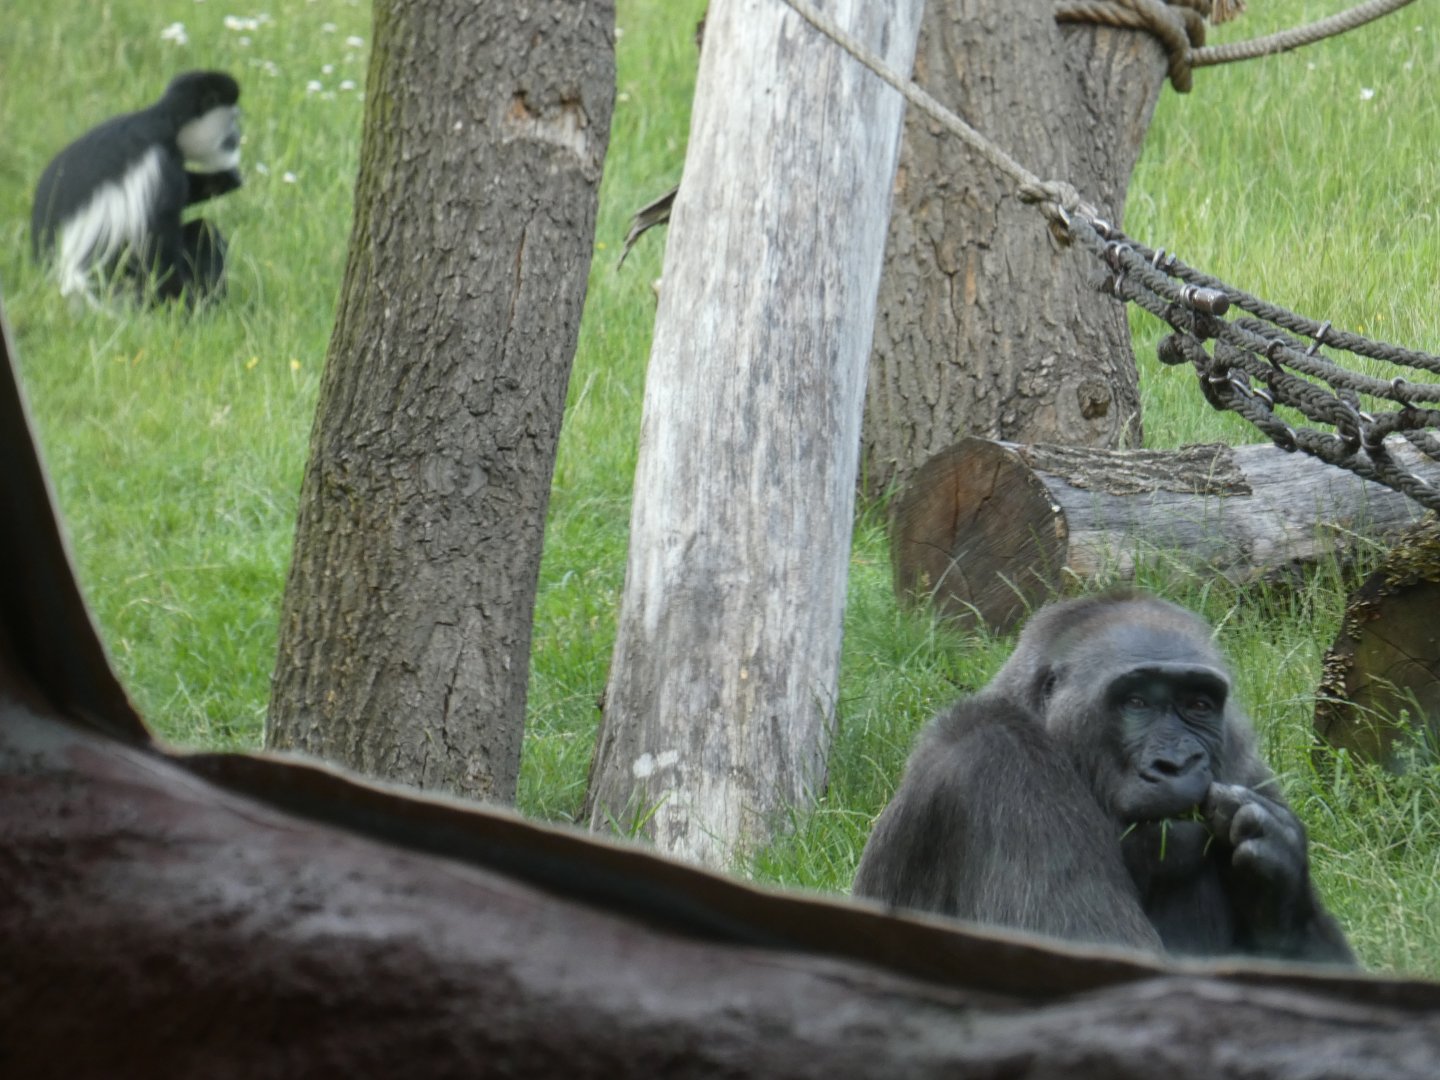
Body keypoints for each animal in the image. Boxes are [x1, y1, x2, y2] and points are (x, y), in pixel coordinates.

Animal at [31, 71, 244, 306]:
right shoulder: (159, 168)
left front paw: (224, 178)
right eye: (232, 121)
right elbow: (157, 252)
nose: (237, 137)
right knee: (202, 233)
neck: (163, 125)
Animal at [852, 592, 1355, 964]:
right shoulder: (998, 763)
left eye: (1198, 704)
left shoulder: (1244, 759)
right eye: (1136, 702)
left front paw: (1277, 871)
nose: (1176, 763)